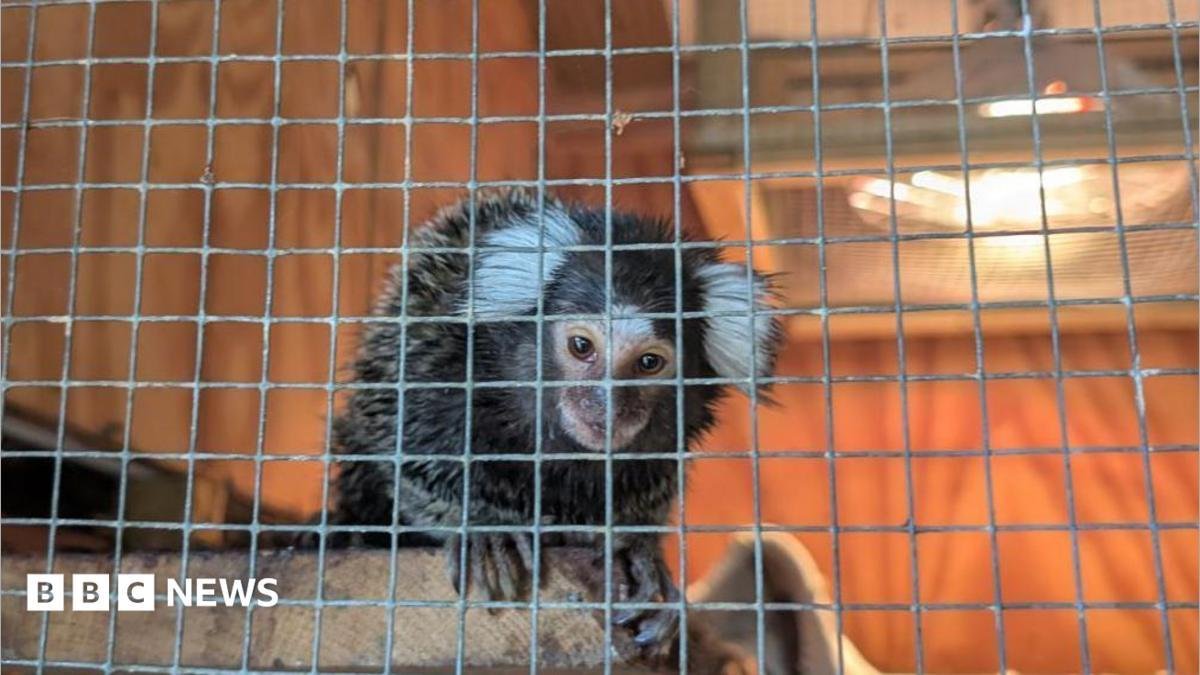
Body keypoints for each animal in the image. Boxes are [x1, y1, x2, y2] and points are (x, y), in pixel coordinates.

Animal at [324, 188, 782, 657]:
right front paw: (484, 528)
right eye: (581, 346)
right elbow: (410, 455)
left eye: (649, 363)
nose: (606, 406)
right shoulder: (432, 357)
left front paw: (636, 550)